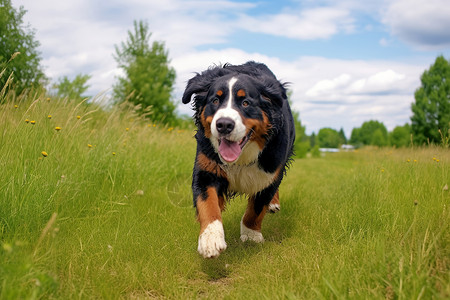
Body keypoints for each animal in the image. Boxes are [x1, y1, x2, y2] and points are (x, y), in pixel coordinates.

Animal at [182, 61, 296, 258]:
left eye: (245, 103)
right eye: (215, 100)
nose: (224, 124)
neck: (241, 158)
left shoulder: (270, 172)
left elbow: (256, 208)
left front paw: (251, 235)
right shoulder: (207, 169)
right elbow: (208, 204)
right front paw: (210, 239)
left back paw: (273, 204)